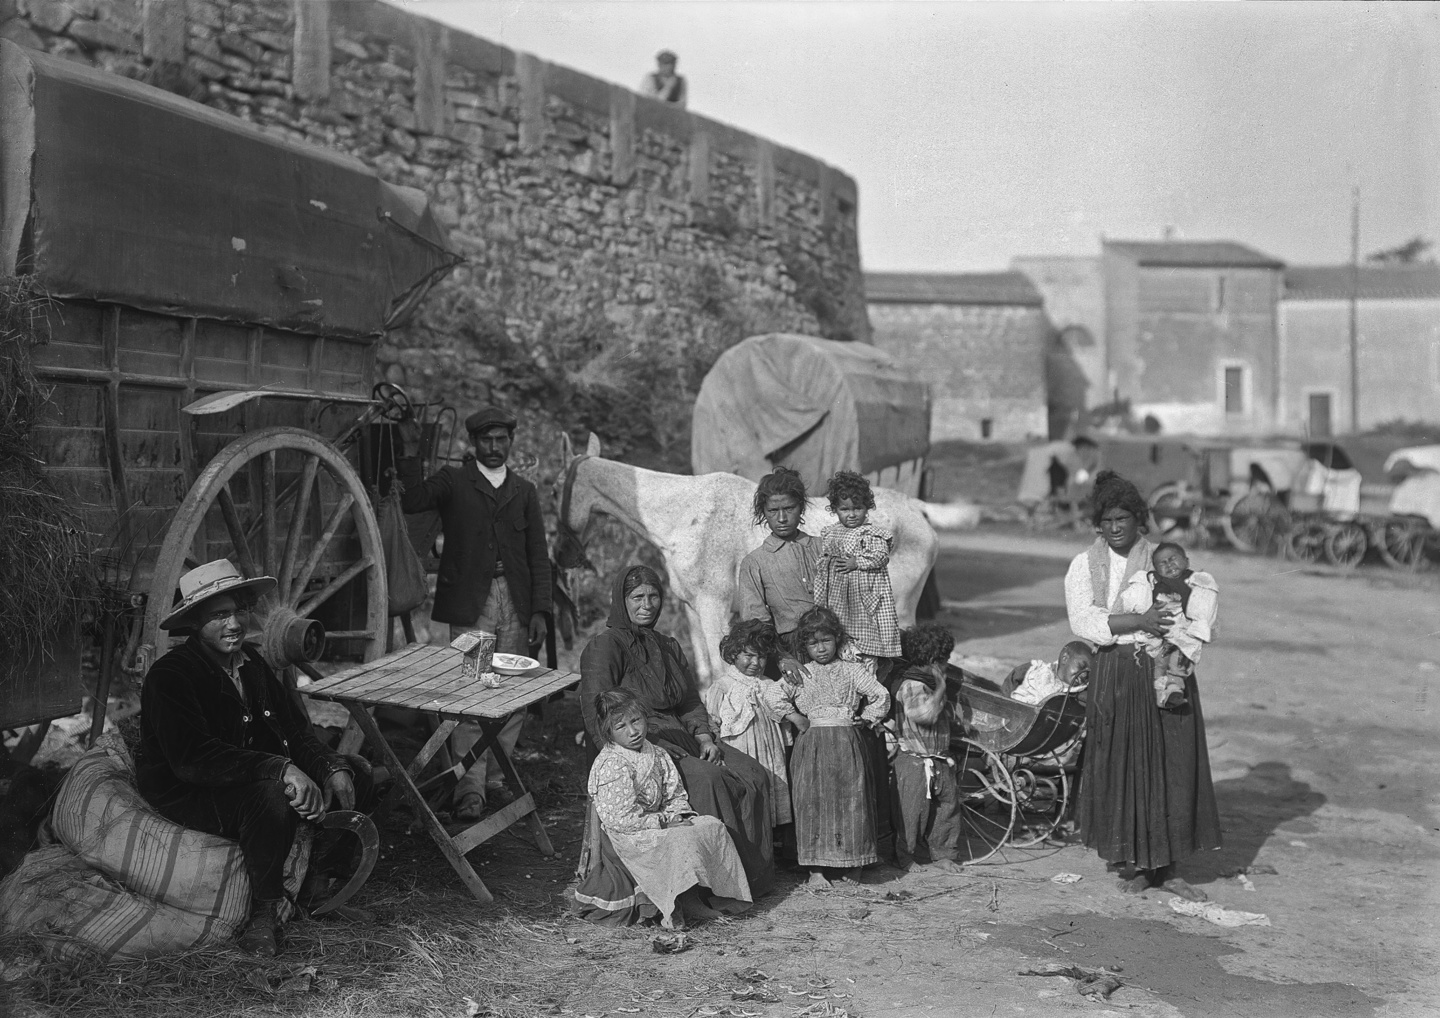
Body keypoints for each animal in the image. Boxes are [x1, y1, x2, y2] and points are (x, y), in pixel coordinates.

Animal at [555, 434, 940, 687]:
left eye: (555, 487)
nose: (562, 555)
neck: (684, 515)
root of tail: (917, 508)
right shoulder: (693, 610)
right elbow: (706, 675)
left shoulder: (714, 608)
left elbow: (722, 670)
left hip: (898, 615)